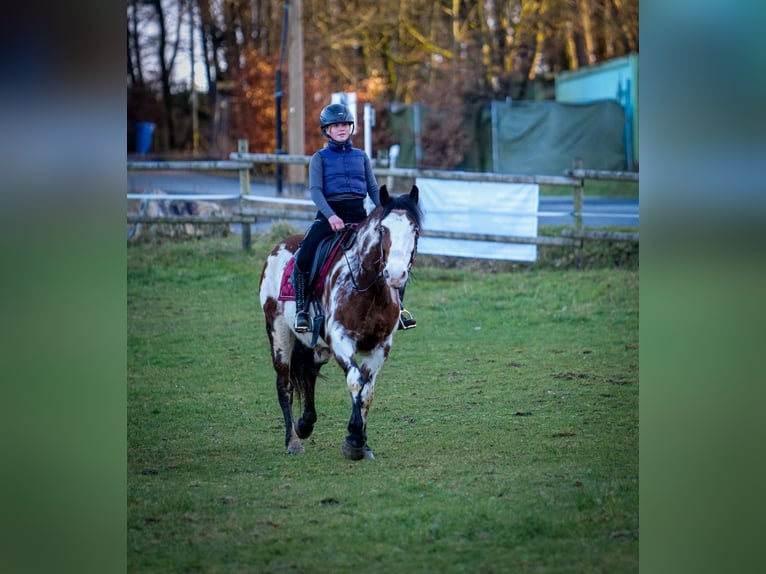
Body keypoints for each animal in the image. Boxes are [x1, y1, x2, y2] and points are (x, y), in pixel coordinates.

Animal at [260, 187, 424, 462]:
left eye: (415, 229)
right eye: (383, 229)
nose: (396, 274)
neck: (367, 286)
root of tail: (279, 247)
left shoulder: (380, 346)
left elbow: (367, 391)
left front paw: (361, 443)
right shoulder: (340, 338)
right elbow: (356, 382)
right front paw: (355, 440)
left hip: (318, 346)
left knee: (310, 373)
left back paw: (305, 424)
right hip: (279, 333)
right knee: (284, 385)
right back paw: (293, 441)